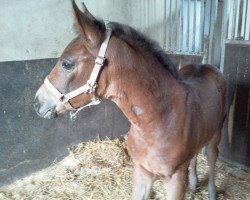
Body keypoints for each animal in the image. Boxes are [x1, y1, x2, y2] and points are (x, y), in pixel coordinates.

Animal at [33, 1, 227, 198]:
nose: (37, 103)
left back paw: (211, 192)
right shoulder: (142, 171)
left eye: (67, 64)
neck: (158, 121)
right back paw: (195, 183)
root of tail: (206, 65)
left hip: (217, 131)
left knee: (212, 156)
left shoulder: (176, 180)